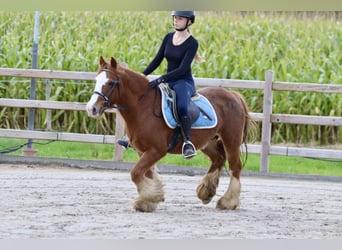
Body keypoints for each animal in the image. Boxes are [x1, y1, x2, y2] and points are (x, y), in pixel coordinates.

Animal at [85, 56, 251, 213]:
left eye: (111, 83)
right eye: (96, 80)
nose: (91, 108)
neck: (142, 107)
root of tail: (233, 95)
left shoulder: (156, 150)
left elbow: (135, 173)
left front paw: (152, 197)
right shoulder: (143, 151)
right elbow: (145, 173)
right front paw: (148, 201)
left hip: (231, 140)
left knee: (235, 166)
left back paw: (228, 202)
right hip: (208, 141)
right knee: (218, 159)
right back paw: (206, 192)